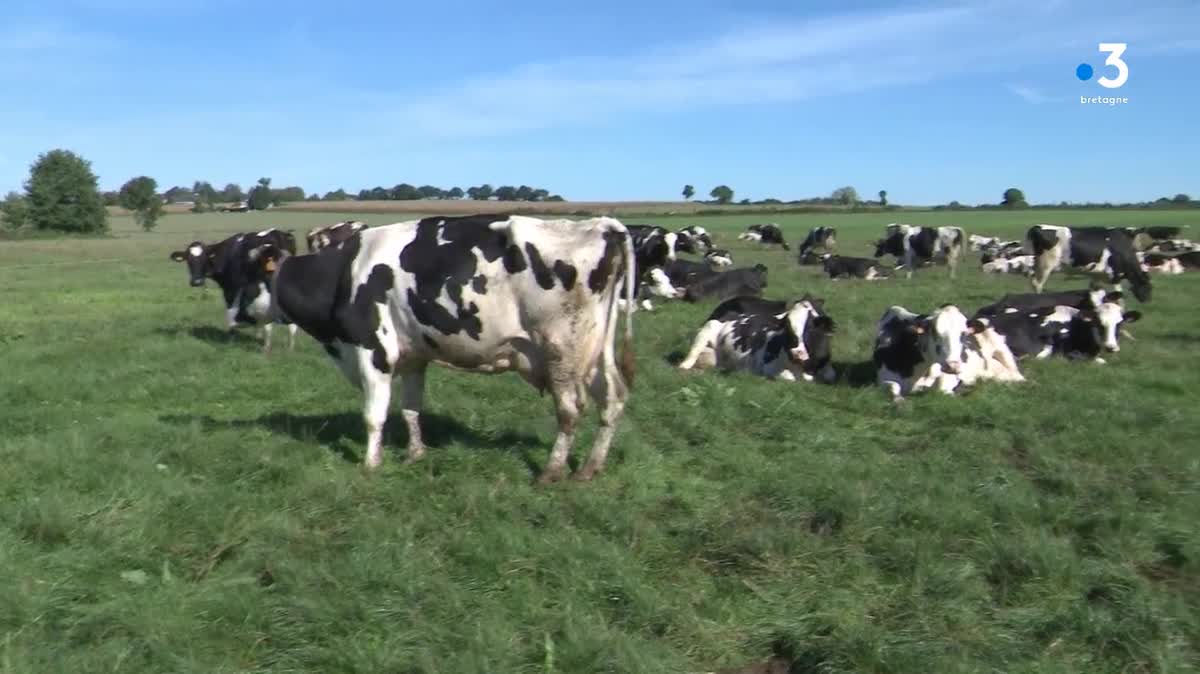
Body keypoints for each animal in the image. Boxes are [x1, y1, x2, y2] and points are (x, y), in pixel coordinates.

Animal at [169, 225, 300, 352]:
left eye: (205, 258)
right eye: (188, 260)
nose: (196, 282)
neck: (228, 255)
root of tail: (280, 234)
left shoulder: (233, 289)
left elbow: (231, 315)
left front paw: (231, 338)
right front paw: (257, 336)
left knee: (270, 321)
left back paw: (268, 347)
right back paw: (290, 348)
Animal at [676, 295, 835, 381]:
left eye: (810, 327)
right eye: (787, 328)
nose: (797, 353)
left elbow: (830, 374)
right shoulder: (767, 366)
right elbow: (789, 377)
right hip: (707, 330)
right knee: (691, 356)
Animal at [873, 299, 1022, 398]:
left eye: (964, 333)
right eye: (934, 331)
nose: (952, 366)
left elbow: (941, 388)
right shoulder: (882, 378)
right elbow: (893, 388)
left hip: (1003, 352)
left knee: (1018, 377)